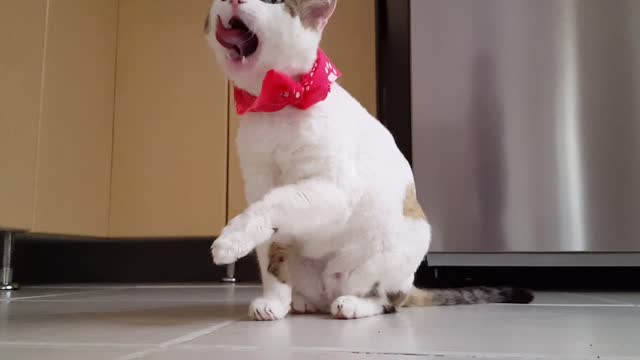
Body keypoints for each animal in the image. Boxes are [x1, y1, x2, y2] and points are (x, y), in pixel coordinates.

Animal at [204, 0, 528, 320]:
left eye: (272, 1)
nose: (235, 0)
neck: (277, 107)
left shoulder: (333, 189)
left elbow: (276, 202)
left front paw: (229, 240)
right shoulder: (259, 182)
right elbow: (271, 253)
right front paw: (273, 301)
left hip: (399, 246)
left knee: (388, 301)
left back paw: (353, 304)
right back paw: (301, 301)